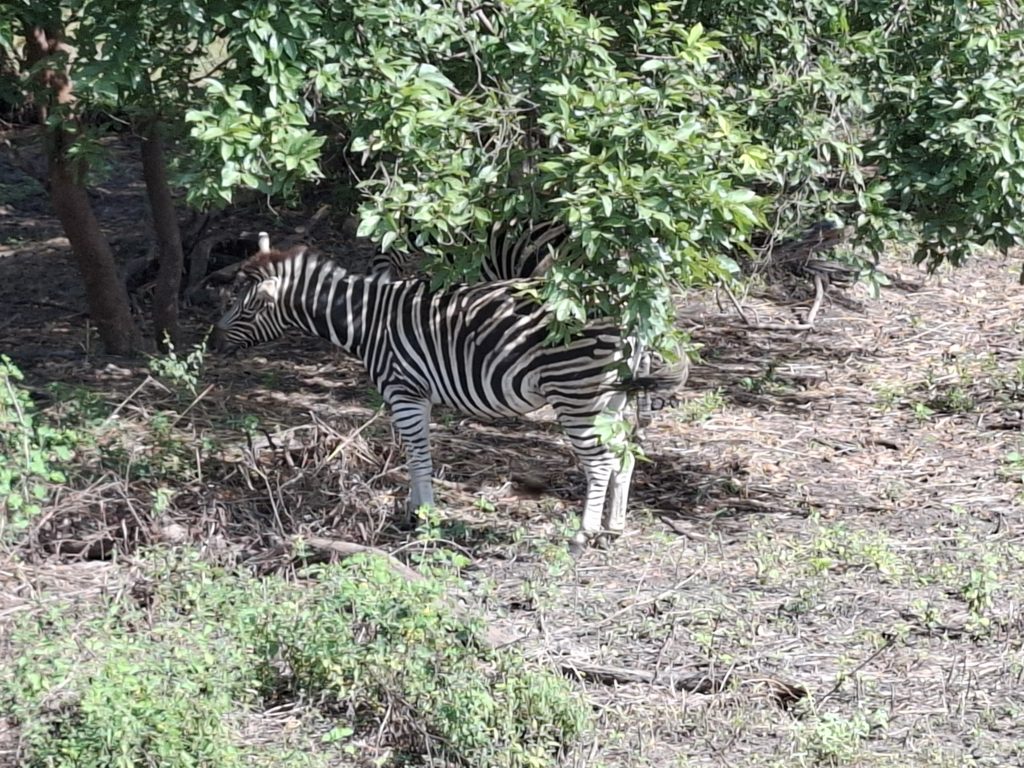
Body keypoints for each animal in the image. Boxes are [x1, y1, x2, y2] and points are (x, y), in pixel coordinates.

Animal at [210, 240, 684, 552]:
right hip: (610, 398)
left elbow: (420, 457)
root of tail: (628, 310)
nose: (212, 345)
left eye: (244, 307)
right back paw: (613, 529)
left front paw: (425, 518)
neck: (368, 321)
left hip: (578, 393)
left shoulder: (404, 391)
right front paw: (412, 512)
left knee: (601, 461)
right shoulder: (412, 396)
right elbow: (412, 455)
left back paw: (584, 534)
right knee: (624, 455)